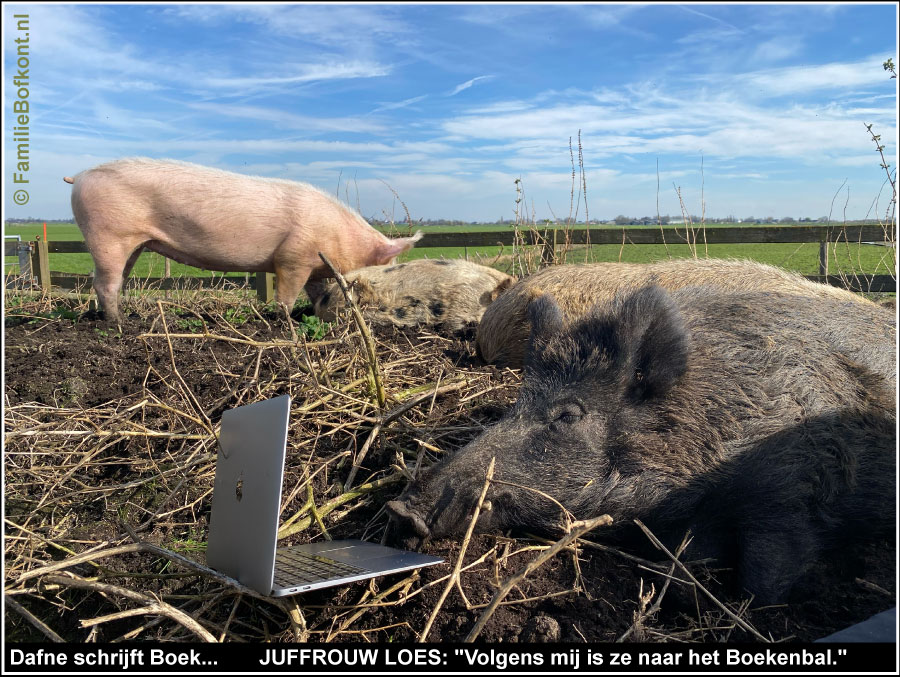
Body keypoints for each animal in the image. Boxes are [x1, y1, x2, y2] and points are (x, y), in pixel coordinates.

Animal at [63, 157, 422, 320]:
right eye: (385, 270)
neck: (337, 237)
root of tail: (80, 176)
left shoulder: (313, 265)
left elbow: (317, 293)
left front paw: (316, 315)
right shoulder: (292, 257)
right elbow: (286, 295)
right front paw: (285, 322)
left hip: (131, 243)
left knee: (113, 280)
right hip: (107, 234)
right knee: (105, 283)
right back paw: (119, 324)